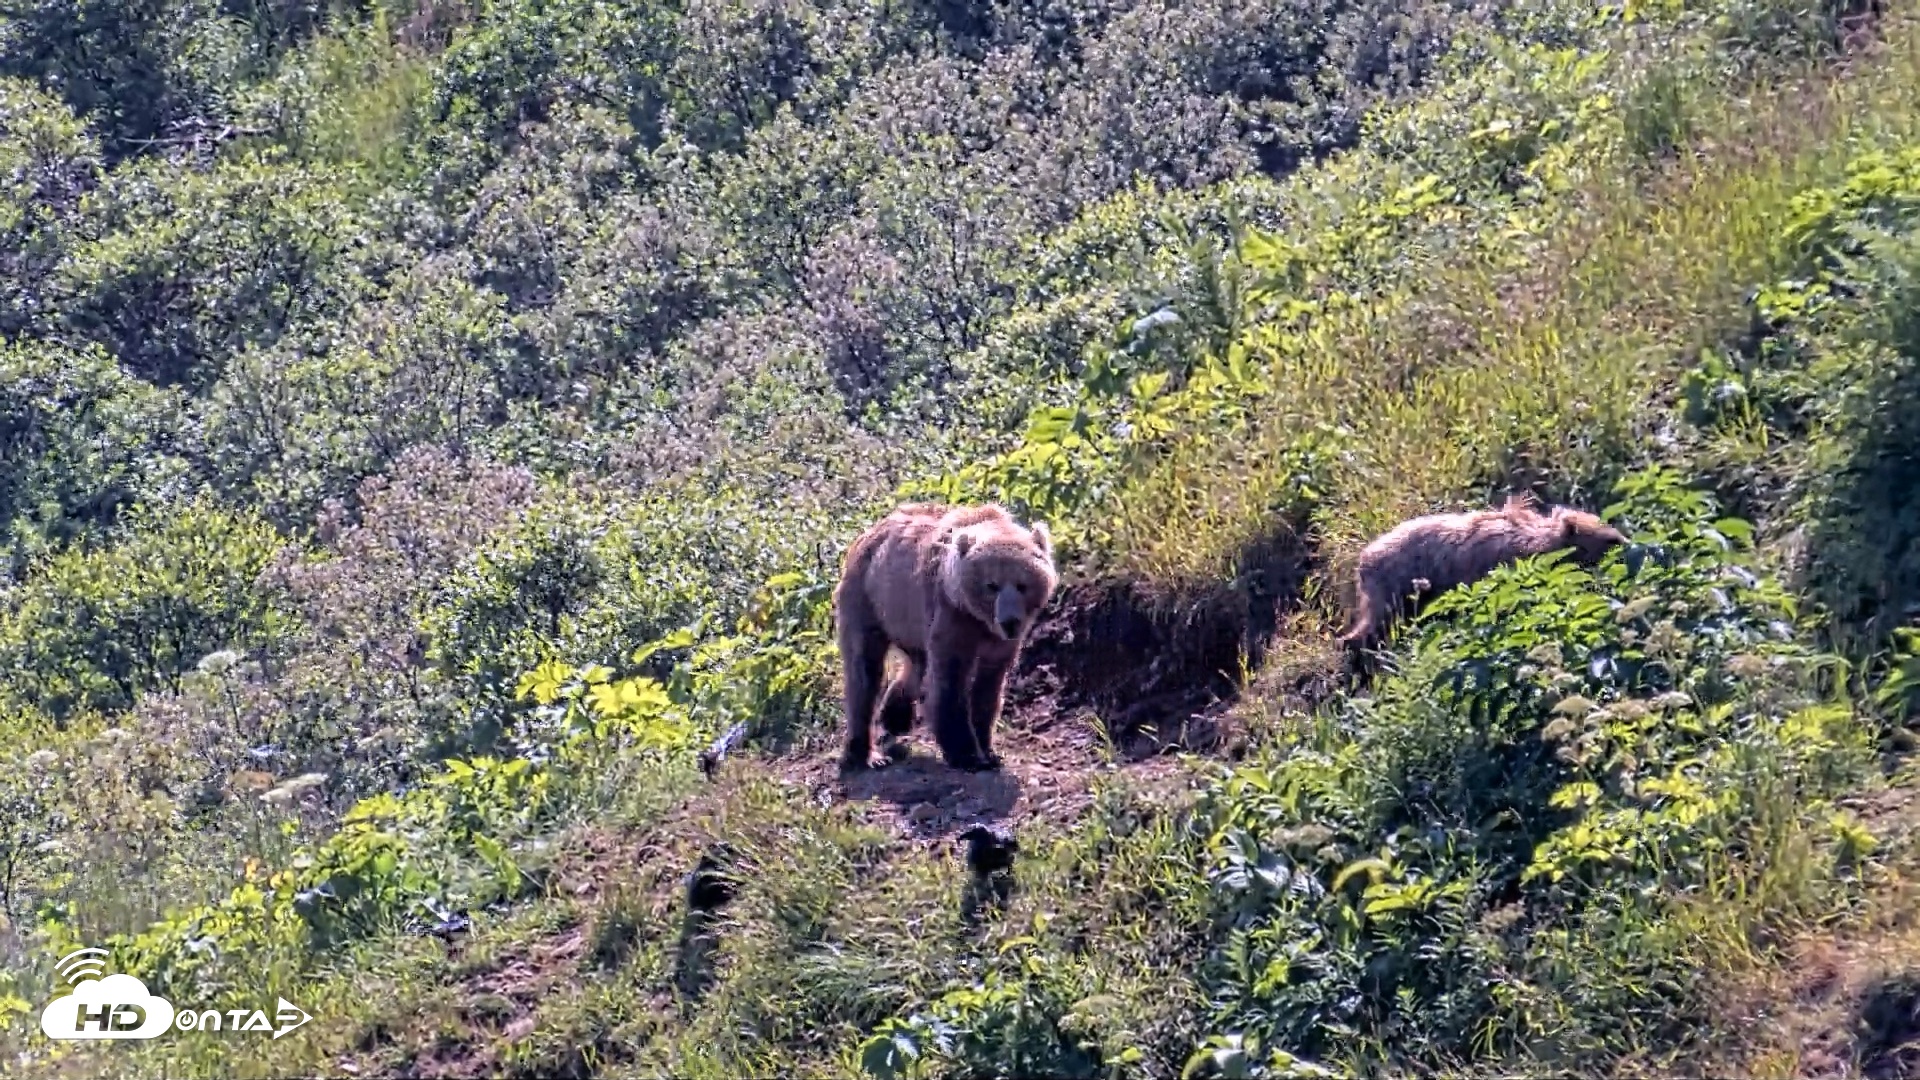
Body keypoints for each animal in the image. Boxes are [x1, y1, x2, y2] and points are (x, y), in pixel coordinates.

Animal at [835, 502, 1059, 773]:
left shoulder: (998, 644)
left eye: (1022, 585)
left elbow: (989, 686)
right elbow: (950, 681)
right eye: (991, 585)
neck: (980, 620)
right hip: (868, 600)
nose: (1010, 621)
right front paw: (967, 754)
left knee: (916, 667)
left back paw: (895, 717)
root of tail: (869, 532)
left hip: (908, 620)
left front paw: (988, 749)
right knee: (865, 671)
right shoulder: (952, 615)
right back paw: (865, 754)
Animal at [1337, 492, 1628, 654]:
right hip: (1394, 586)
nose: (1626, 540)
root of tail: (1364, 558)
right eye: (1610, 538)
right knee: (1377, 622)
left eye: (1611, 528)